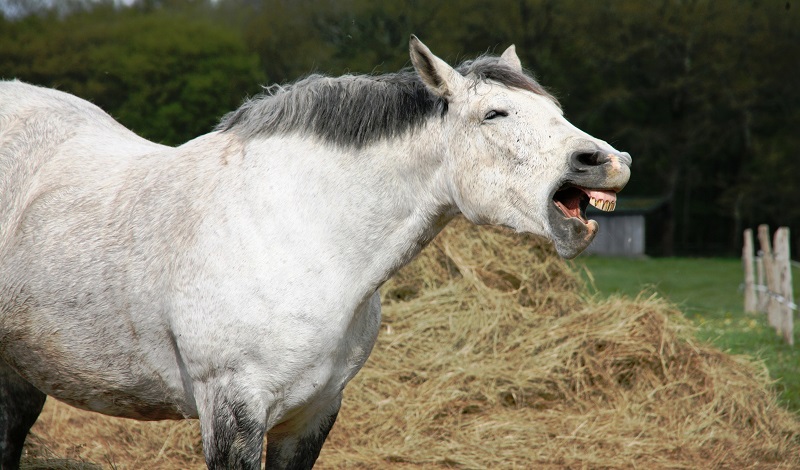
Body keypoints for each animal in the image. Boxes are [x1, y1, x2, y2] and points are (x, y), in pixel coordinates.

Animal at [0, 37, 632, 470]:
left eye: (556, 112)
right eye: (494, 114)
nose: (606, 161)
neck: (301, 235)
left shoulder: (313, 414)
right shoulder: (231, 411)